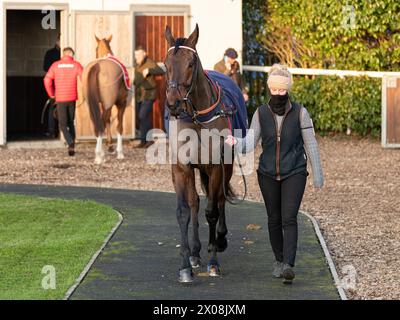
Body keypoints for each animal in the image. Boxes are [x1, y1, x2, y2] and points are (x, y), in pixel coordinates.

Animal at [81, 36, 130, 164]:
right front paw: (120, 152)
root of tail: (97, 65)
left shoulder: (103, 104)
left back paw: (99, 154)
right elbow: (119, 127)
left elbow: (108, 121)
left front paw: (110, 146)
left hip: (91, 105)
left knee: (97, 123)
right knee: (101, 123)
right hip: (111, 104)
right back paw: (99, 155)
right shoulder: (121, 103)